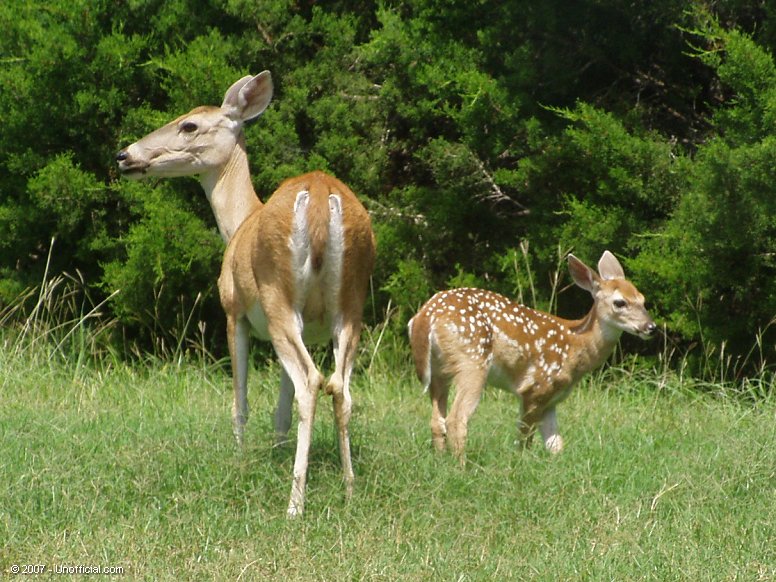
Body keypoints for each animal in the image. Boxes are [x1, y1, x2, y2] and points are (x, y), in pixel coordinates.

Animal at [116, 72, 378, 516]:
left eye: (189, 125)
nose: (124, 155)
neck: (238, 222)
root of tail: (320, 199)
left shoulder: (232, 311)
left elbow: (241, 403)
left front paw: (240, 462)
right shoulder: (305, 327)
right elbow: (281, 409)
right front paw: (277, 453)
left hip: (277, 297)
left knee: (311, 381)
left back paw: (294, 505)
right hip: (351, 304)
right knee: (340, 387)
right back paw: (349, 490)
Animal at [406, 253, 656, 464]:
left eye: (642, 299)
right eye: (620, 302)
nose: (651, 327)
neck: (576, 345)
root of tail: (425, 316)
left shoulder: (552, 399)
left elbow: (556, 445)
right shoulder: (536, 388)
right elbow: (524, 437)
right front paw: (520, 463)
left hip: (440, 371)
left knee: (437, 420)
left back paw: (441, 461)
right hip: (472, 362)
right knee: (456, 419)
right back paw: (462, 466)